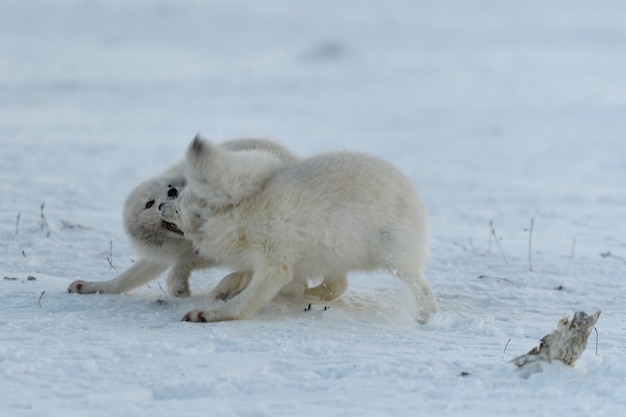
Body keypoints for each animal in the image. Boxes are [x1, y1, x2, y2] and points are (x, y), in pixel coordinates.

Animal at [66, 138, 298, 298]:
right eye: (149, 203)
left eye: (170, 187)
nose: (172, 193)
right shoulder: (162, 254)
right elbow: (127, 278)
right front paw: (94, 286)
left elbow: (181, 264)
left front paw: (178, 286)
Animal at [160, 136, 438, 322]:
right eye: (177, 198)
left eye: (179, 209)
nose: (162, 205)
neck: (243, 216)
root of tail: (414, 195)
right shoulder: (260, 262)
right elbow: (238, 278)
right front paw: (220, 292)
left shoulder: (274, 262)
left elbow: (248, 298)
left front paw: (207, 313)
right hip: (332, 251)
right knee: (337, 285)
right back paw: (306, 295)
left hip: (393, 256)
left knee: (422, 289)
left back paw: (426, 317)